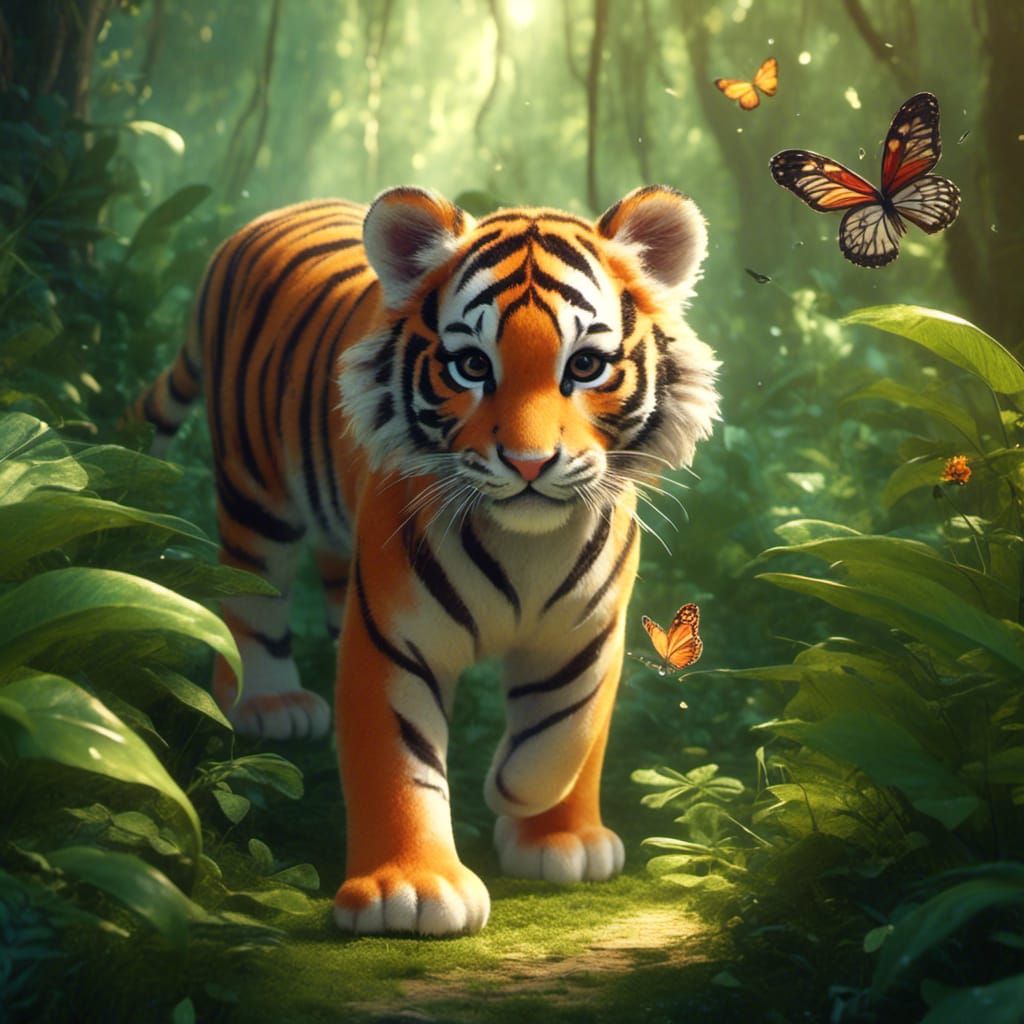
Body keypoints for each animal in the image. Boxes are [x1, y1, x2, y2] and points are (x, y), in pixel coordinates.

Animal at [134, 184, 719, 936]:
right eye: (472, 366)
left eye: (585, 366)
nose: (529, 463)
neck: (528, 542)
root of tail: (269, 215)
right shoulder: (392, 637)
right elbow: (397, 760)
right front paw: (408, 890)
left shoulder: (588, 632)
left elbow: (571, 729)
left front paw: (546, 822)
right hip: (253, 484)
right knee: (250, 589)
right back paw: (270, 702)